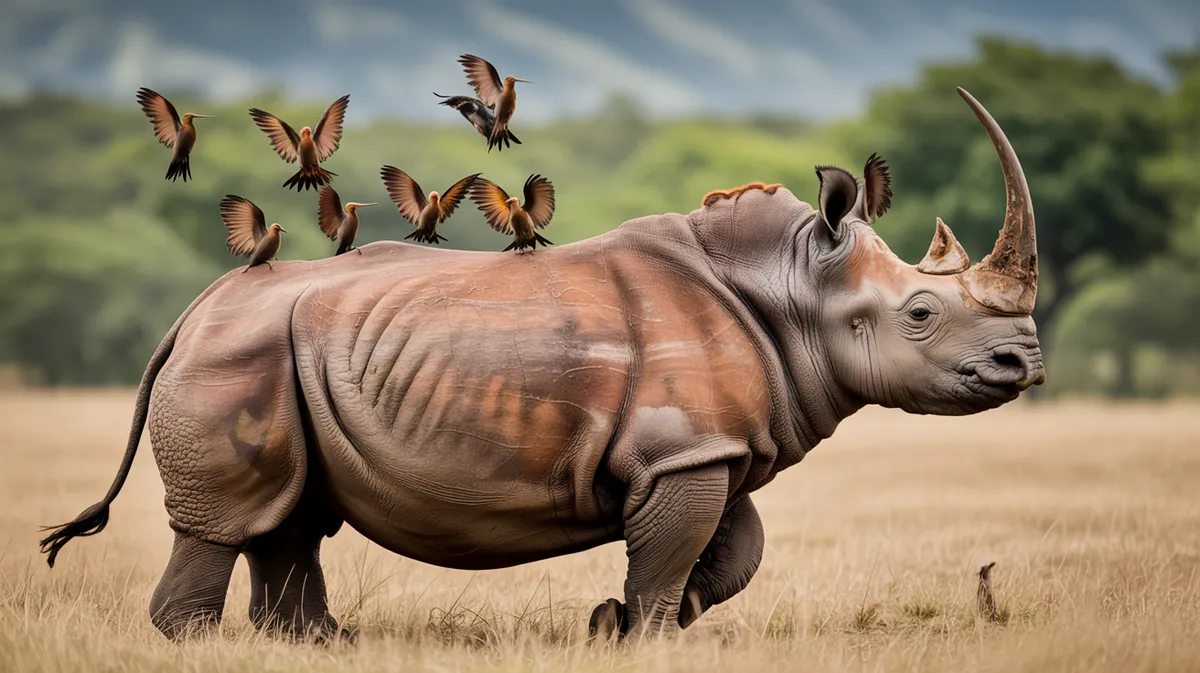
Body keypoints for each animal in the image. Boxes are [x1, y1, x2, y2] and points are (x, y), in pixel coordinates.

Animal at [40, 88, 1044, 643]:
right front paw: (642, 635)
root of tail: (191, 312)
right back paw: (213, 643)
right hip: (236, 352)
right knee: (232, 518)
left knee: (291, 513)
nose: (1024, 362)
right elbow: (676, 553)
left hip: (277, 353)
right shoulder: (686, 449)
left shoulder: (709, 444)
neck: (796, 285)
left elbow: (732, 551)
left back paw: (322, 644)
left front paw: (614, 623)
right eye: (921, 315)